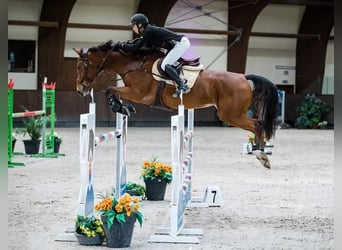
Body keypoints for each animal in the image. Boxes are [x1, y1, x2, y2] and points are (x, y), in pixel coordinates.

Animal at [75, 40, 278, 168]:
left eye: (80, 66)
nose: (79, 90)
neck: (132, 64)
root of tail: (243, 77)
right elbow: (112, 91)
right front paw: (124, 107)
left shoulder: (139, 94)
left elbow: (110, 90)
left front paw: (119, 106)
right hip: (232, 114)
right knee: (258, 125)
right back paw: (261, 153)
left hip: (231, 115)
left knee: (257, 125)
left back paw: (261, 154)